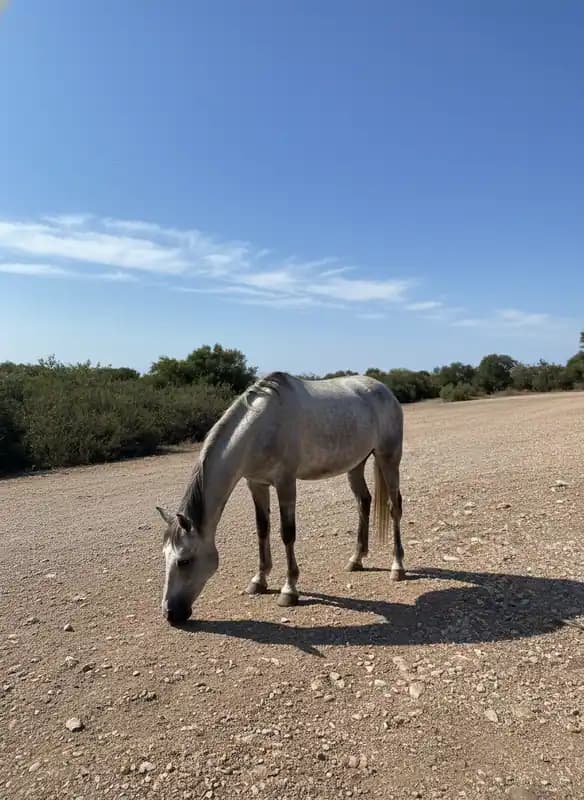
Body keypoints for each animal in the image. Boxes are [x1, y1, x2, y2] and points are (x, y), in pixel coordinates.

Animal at [156, 371, 404, 624]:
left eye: (184, 561)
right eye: (165, 556)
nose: (170, 613)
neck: (260, 429)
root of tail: (383, 389)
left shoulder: (285, 483)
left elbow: (287, 534)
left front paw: (289, 590)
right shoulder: (256, 484)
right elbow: (262, 529)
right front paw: (259, 580)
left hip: (388, 458)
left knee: (394, 507)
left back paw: (397, 567)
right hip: (356, 465)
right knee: (363, 501)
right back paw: (356, 559)